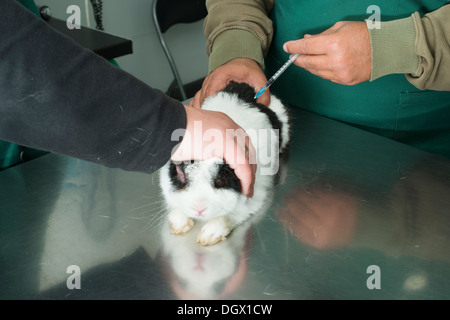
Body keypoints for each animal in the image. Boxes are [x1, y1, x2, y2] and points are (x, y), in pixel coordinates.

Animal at [160, 81, 290, 246]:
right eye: (180, 174)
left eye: (221, 179)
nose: (199, 209)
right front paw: (178, 225)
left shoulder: (254, 196)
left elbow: (229, 216)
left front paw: (208, 236)